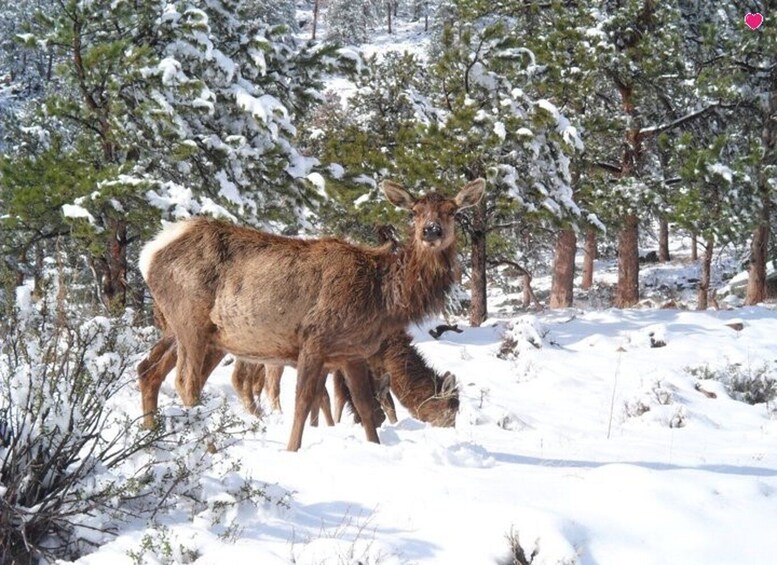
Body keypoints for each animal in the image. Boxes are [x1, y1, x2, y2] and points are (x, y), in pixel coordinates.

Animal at [136, 178, 482, 452]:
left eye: (452, 211)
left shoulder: (351, 353)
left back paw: (151, 435)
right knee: (186, 383)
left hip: (201, 335)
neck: (382, 300)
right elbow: (304, 403)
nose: (431, 231)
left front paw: (375, 448)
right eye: (414, 212)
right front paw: (292, 451)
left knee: (149, 371)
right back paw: (206, 446)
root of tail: (149, 252)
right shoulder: (315, 339)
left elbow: (366, 408)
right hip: (190, 321)